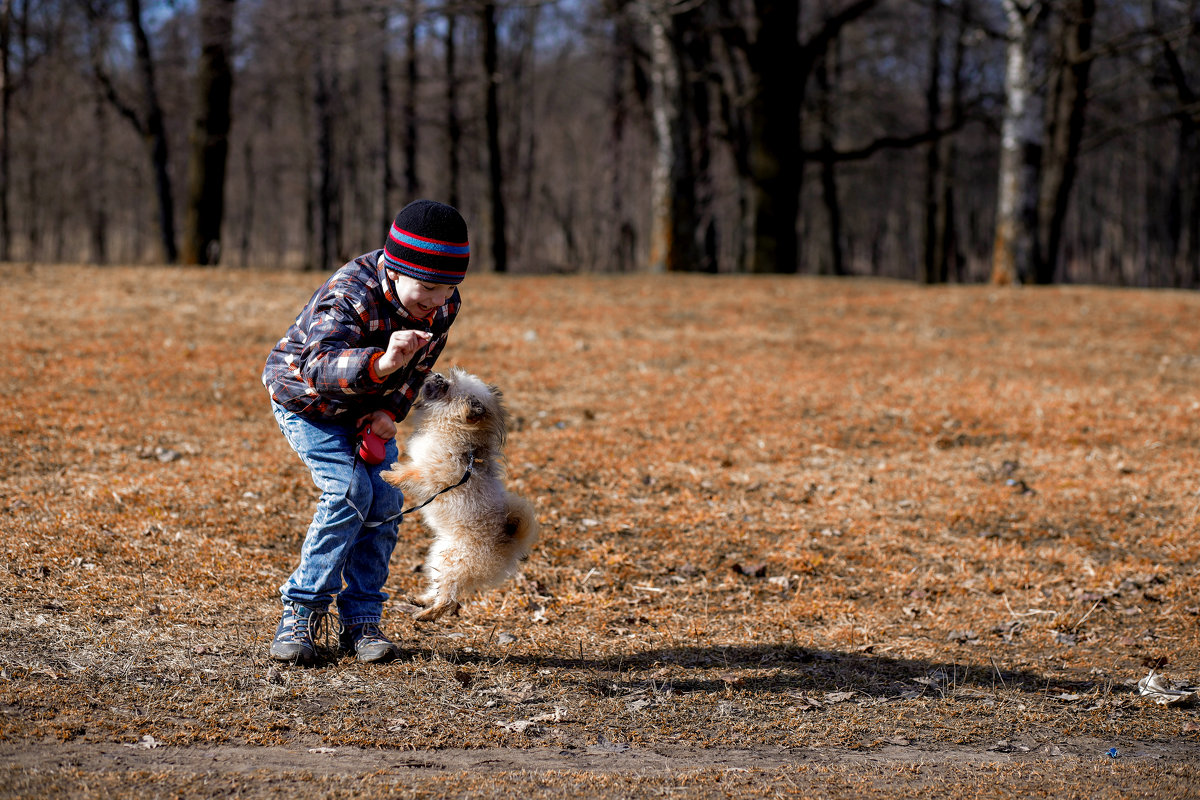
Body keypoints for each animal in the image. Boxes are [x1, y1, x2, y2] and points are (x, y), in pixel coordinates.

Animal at [381, 367, 537, 623]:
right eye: (448, 376)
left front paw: (390, 475)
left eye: (446, 386)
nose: (436, 375)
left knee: (448, 599)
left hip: (453, 561)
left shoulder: (434, 473)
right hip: (439, 554)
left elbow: (412, 472)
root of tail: (509, 544)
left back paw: (426, 614)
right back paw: (421, 600)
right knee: (440, 589)